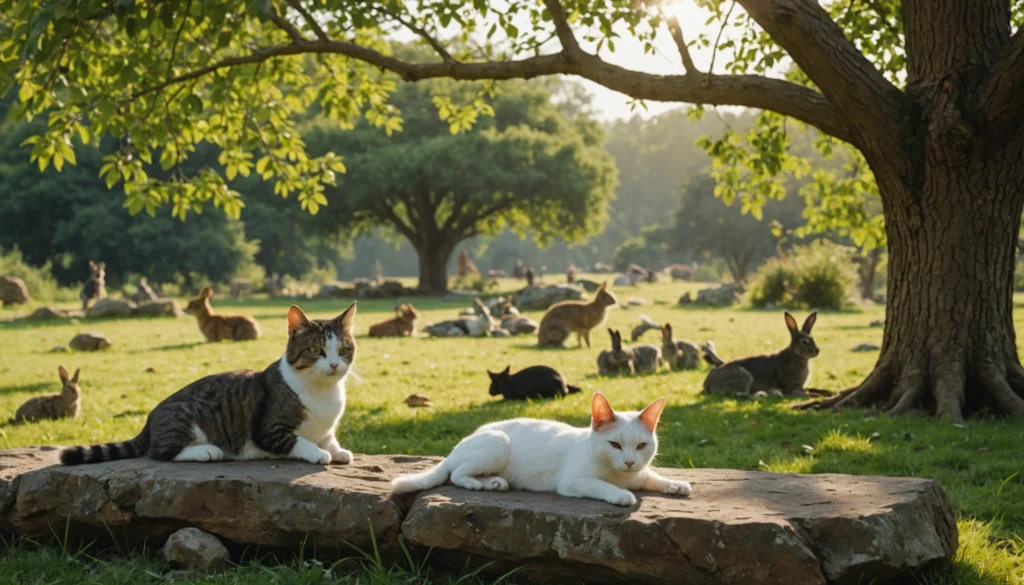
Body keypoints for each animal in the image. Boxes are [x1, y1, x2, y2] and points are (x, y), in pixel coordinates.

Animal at [60, 305, 356, 465]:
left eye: (343, 350)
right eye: (316, 350)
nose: (334, 365)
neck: (323, 392)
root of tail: (151, 417)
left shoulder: (326, 428)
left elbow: (329, 438)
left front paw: (339, 451)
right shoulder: (268, 430)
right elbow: (299, 440)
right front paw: (319, 454)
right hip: (185, 416)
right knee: (160, 452)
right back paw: (207, 452)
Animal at [387, 393, 692, 508]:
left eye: (641, 446)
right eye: (614, 445)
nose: (629, 462)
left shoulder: (640, 473)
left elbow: (651, 476)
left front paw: (675, 484)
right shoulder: (572, 481)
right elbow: (601, 485)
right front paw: (621, 494)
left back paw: (494, 482)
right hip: (498, 442)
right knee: (455, 474)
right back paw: (477, 484)